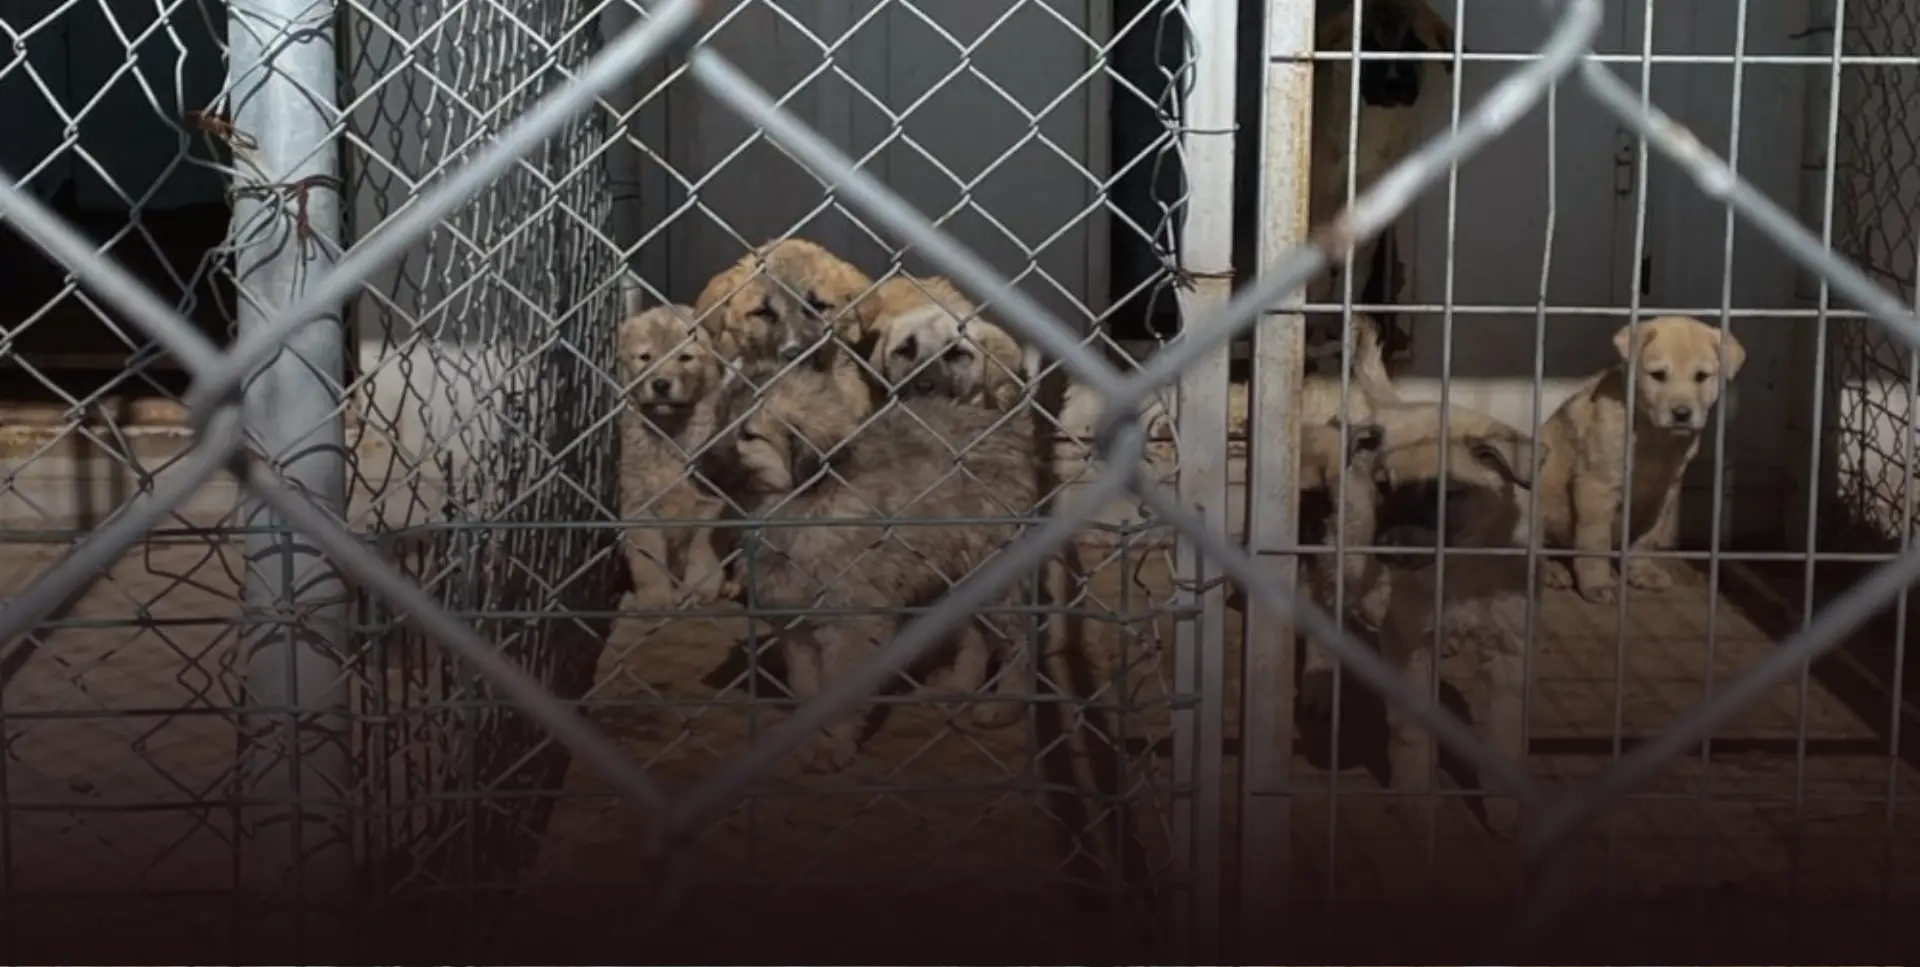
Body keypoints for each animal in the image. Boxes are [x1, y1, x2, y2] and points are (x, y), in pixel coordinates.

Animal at [614, 305, 733, 606]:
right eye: (645, 357)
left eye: (685, 357)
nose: (661, 384)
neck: (670, 431)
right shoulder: (640, 507)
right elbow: (648, 561)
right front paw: (656, 598)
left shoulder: (711, 503)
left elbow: (702, 550)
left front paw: (702, 587)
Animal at [1367, 400, 1543, 832]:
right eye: (1384, 487)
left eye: (1446, 494)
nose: (1389, 549)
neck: (1463, 566)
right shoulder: (1408, 643)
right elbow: (1412, 729)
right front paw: (1415, 798)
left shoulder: (1511, 651)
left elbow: (1505, 738)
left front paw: (1503, 808)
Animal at [1536, 314, 1751, 606]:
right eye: (1658, 375)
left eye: (1701, 377)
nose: (1681, 414)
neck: (1653, 435)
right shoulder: (1596, 486)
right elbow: (1594, 542)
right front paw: (1597, 584)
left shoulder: (1662, 493)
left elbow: (1645, 537)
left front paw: (1642, 572)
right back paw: (1551, 571)